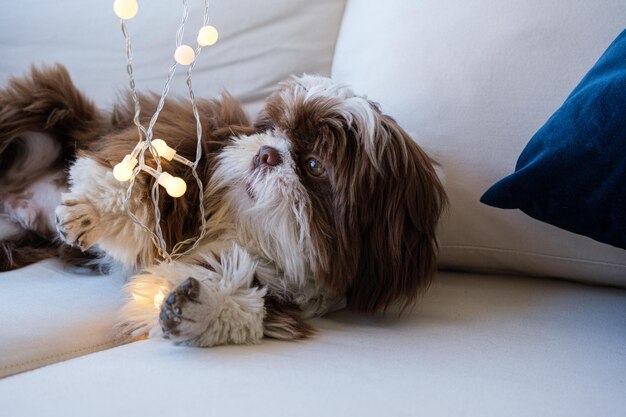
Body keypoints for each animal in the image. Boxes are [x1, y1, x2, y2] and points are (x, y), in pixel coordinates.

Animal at [0, 65, 444, 344]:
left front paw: (197, 306)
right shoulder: (193, 136)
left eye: (315, 165)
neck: (245, 227)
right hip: (45, 102)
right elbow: (140, 175)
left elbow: (232, 295)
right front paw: (94, 212)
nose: (267, 153)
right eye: (270, 129)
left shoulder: (275, 288)